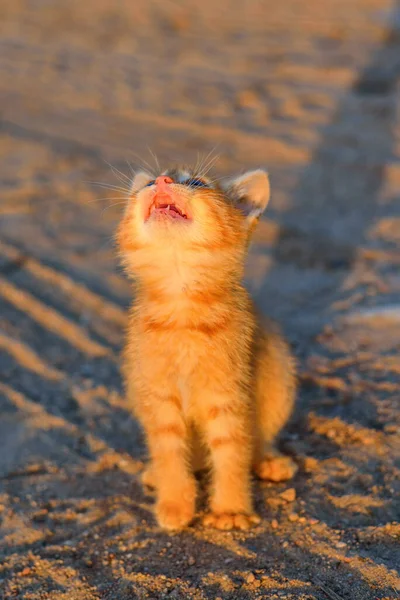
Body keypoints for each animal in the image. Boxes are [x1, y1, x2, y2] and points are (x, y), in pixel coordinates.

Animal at [115, 165, 296, 528]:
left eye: (196, 182)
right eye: (147, 182)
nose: (162, 182)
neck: (183, 312)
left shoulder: (228, 395)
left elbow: (231, 451)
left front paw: (230, 509)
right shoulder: (158, 397)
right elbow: (168, 450)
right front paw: (174, 503)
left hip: (280, 375)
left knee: (258, 441)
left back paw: (269, 461)